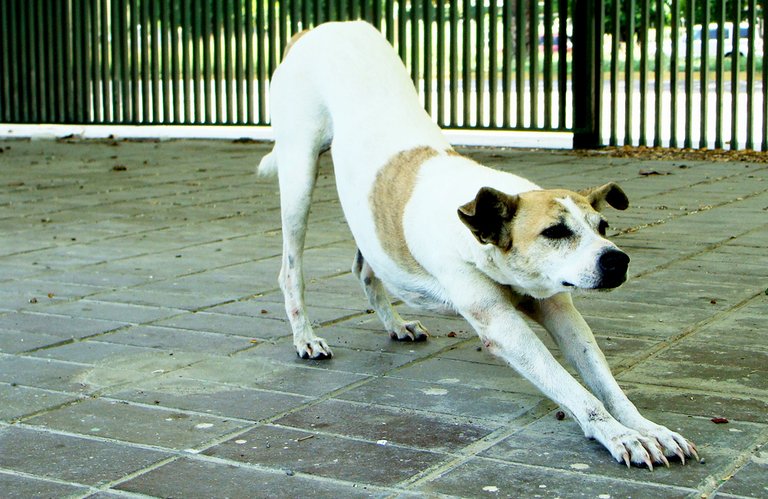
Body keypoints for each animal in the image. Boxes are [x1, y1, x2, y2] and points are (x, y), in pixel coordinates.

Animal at [260, 21, 700, 470]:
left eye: (603, 226)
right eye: (555, 232)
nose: (618, 261)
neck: (477, 235)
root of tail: (317, 29)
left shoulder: (561, 311)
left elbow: (604, 382)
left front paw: (647, 428)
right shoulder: (502, 326)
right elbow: (577, 392)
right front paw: (620, 436)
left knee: (367, 269)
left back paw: (395, 324)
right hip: (299, 177)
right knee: (290, 270)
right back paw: (306, 338)